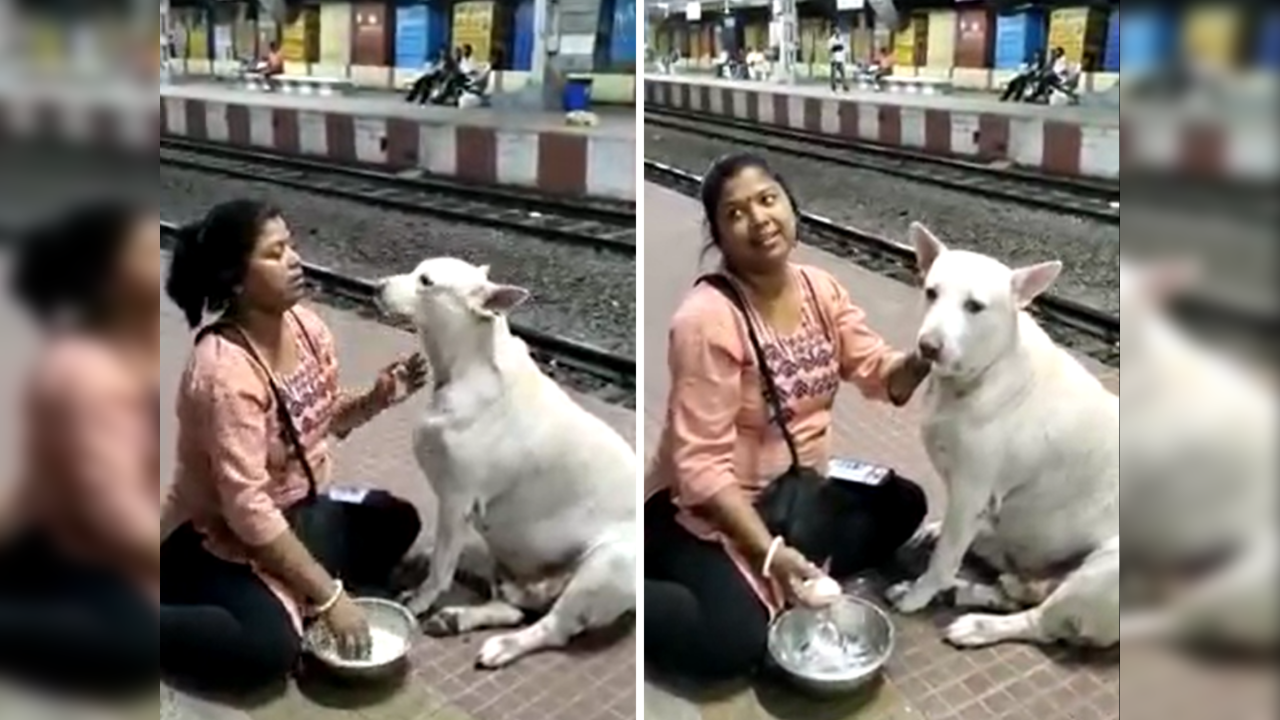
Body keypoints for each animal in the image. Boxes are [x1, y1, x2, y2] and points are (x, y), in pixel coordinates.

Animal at [376, 257, 640, 666]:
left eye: (427, 281)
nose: (376, 286)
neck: (469, 365)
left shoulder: (456, 501)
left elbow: (441, 567)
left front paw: (420, 600)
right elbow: (442, 557)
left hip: (605, 566)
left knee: (551, 628)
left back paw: (504, 645)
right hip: (505, 551)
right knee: (512, 607)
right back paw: (459, 618)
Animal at [890, 221, 1121, 648]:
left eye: (974, 306)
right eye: (931, 292)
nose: (927, 347)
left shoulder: (971, 490)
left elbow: (944, 557)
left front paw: (918, 595)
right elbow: (949, 544)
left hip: (1101, 573)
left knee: (1038, 622)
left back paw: (976, 625)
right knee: (1013, 590)